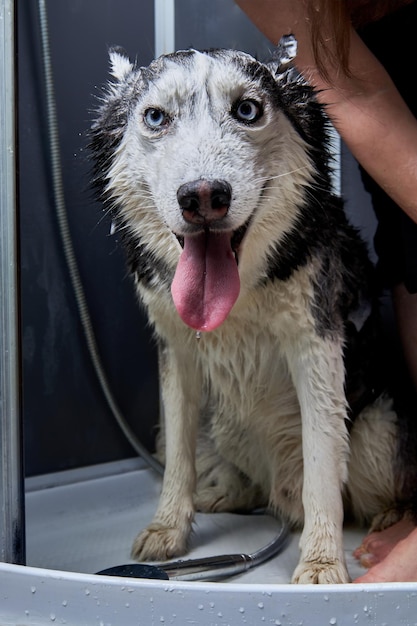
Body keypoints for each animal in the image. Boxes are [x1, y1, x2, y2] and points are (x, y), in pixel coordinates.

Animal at [91, 37, 416, 580]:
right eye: (155, 117)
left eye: (247, 110)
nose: (204, 196)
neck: (237, 301)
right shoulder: (176, 353)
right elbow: (177, 460)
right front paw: (168, 528)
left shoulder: (316, 349)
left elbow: (322, 468)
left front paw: (322, 562)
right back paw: (222, 492)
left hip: (377, 428)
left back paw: (388, 524)